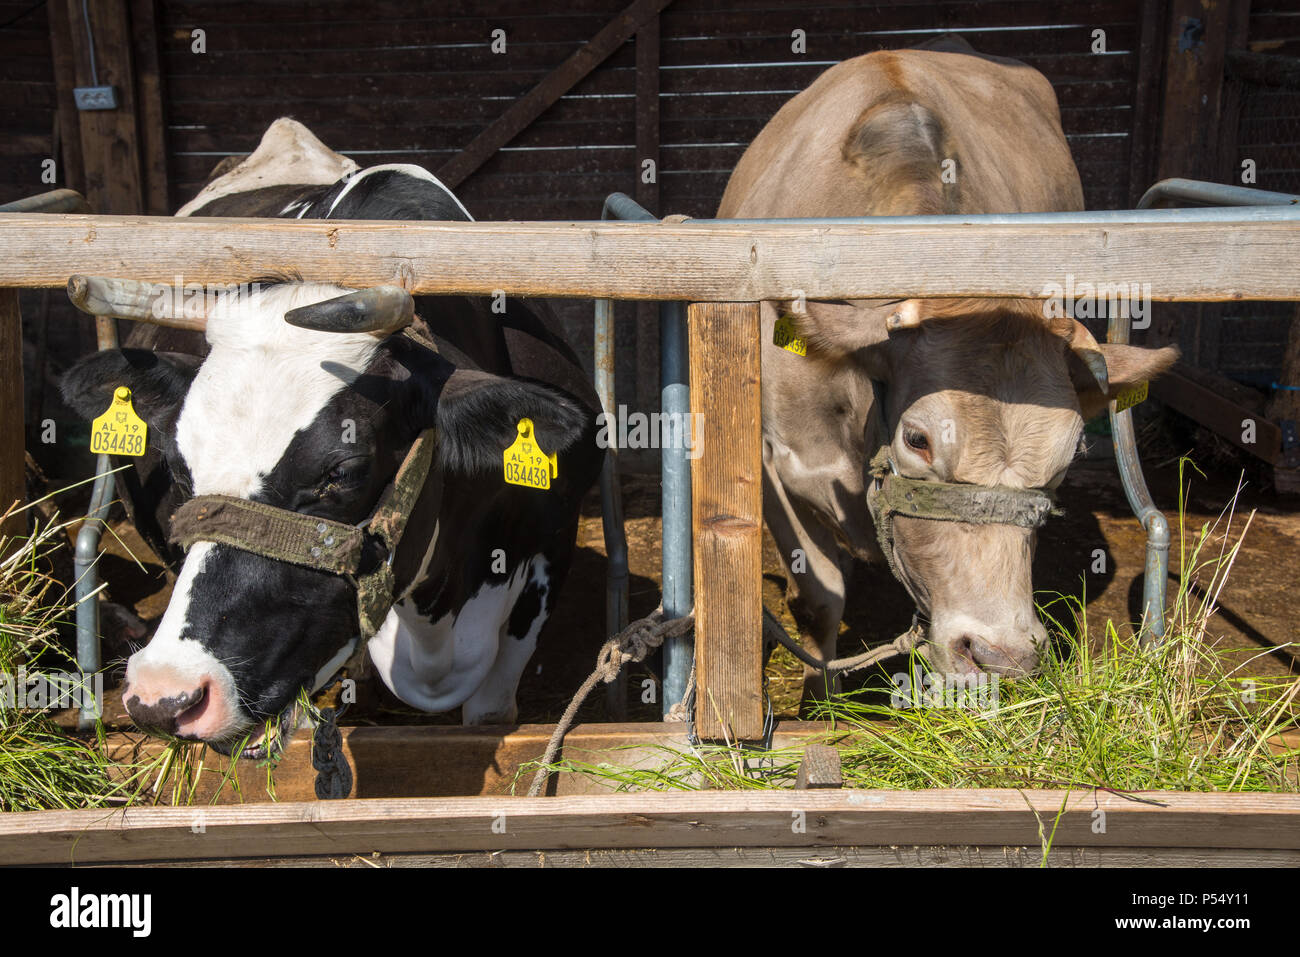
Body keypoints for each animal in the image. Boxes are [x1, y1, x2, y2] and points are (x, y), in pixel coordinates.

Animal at [722, 39, 1180, 696]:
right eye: (917, 439)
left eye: (1068, 458)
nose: (1000, 656)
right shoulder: (775, 463)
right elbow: (819, 600)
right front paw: (822, 703)